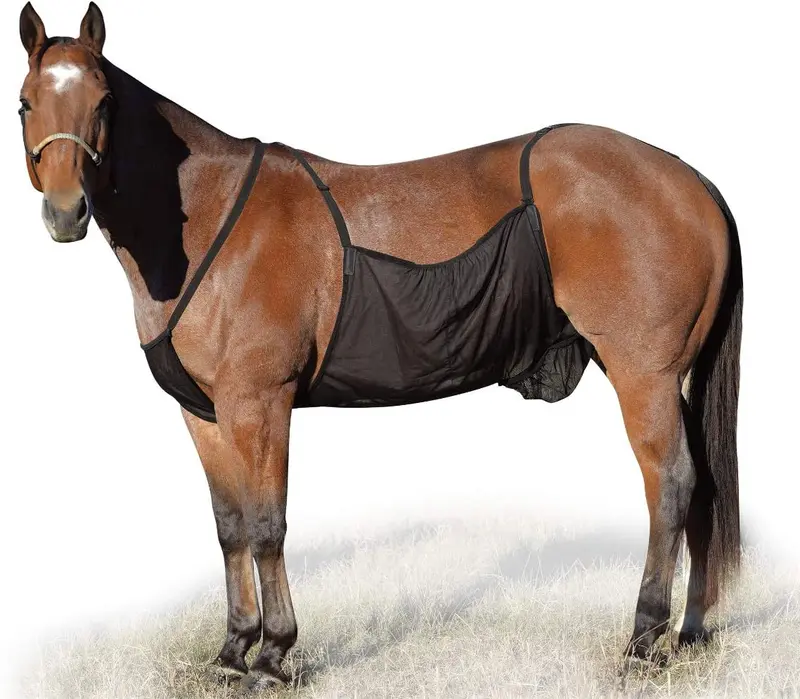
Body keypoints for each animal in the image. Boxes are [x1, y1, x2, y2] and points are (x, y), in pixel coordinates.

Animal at [17, 2, 742, 691]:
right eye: (26, 102)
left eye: (103, 102)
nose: (66, 212)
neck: (209, 221)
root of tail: (691, 180)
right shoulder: (204, 411)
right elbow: (229, 527)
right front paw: (231, 649)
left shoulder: (260, 403)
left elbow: (267, 525)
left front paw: (273, 655)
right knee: (702, 486)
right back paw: (692, 630)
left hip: (645, 375)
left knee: (671, 484)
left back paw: (644, 640)